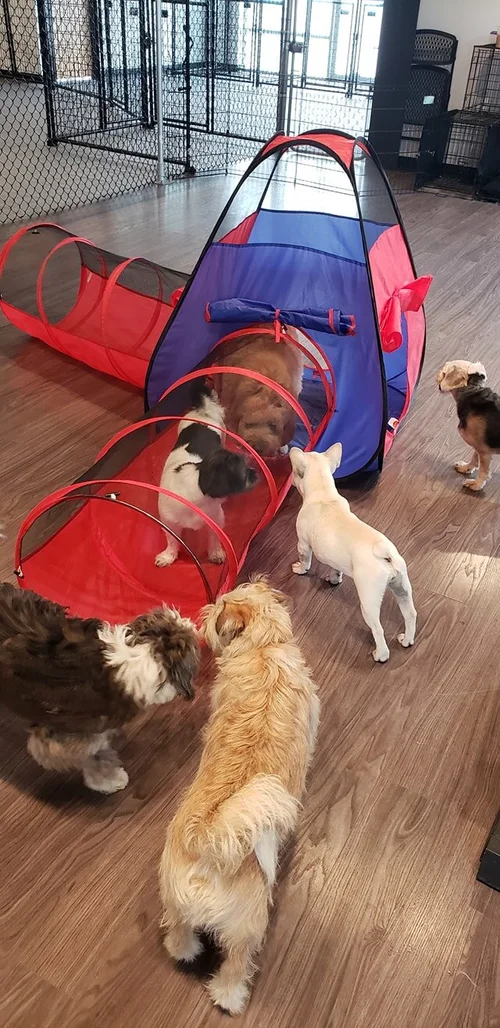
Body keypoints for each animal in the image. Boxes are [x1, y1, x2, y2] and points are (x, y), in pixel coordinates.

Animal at [155, 381, 258, 567]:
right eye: (244, 473)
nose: (255, 472)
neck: (197, 484)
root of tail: (202, 410)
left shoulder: (216, 520)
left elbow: (214, 539)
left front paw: (215, 553)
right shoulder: (169, 522)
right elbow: (172, 541)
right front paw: (169, 556)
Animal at [159, 576, 319, 1015]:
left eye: (217, 610)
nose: (205, 613)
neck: (264, 648)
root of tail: (207, 838)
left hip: (175, 900)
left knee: (179, 932)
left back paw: (184, 951)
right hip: (248, 926)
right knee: (235, 962)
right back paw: (230, 997)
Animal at [290, 445, 416, 663]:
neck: (324, 493)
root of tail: (387, 555)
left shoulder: (303, 544)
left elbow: (304, 560)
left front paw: (299, 569)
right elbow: (335, 568)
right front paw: (334, 579)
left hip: (369, 598)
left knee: (378, 629)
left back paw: (380, 655)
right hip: (402, 587)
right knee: (410, 613)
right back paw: (407, 640)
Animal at [436, 359, 500, 492]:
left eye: (444, 373)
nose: (437, 374)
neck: (472, 390)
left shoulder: (485, 451)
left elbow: (483, 472)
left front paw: (476, 484)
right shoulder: (478, 445)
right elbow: (474, 458)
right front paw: (466, 468)